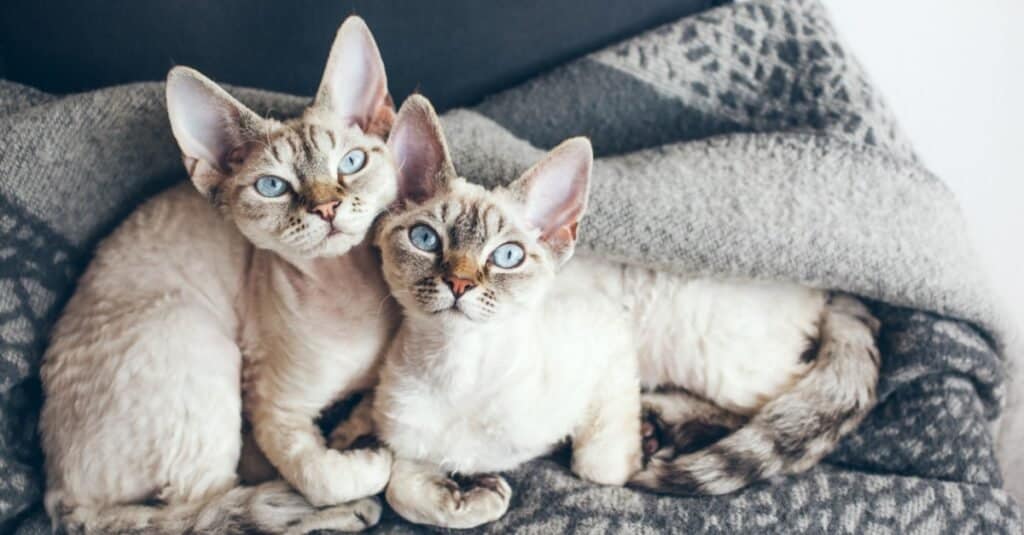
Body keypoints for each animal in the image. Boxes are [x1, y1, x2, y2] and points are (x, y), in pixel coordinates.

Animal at [354, 94, 638, 524]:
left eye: (507, 256)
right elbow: (399, 491)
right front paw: (475, 496)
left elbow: (599, 466)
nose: (459, 283)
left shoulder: (608, 339)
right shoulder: (406, 444)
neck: (458, 369)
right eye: (425, 238)